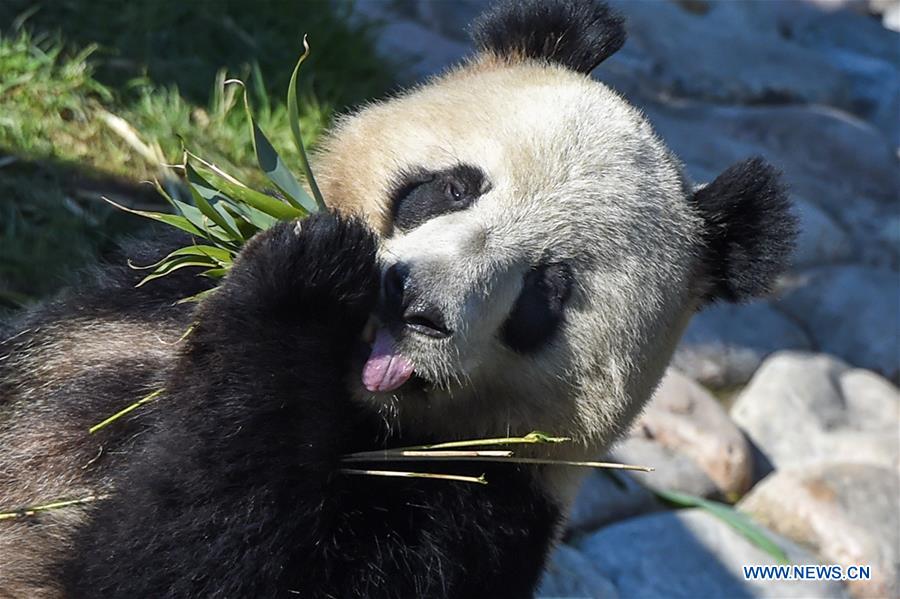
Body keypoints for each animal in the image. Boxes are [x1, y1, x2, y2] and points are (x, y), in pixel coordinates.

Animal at [0, 0, 796, 597]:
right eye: (455, 187)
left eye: (546, 292)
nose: (410, 304)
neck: (355, 408)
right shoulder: (120, 319)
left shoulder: (465, 518)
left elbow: (172, 563)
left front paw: (306, 284)